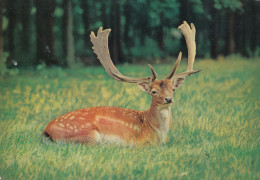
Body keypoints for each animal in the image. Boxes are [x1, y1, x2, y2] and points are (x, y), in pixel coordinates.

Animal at [43, 21, 201, 146]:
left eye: (173, 89)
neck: (155, 131)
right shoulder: (139, 143)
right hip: (89, 135)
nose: (169, 99)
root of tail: (46, 130)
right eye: (153, 91)